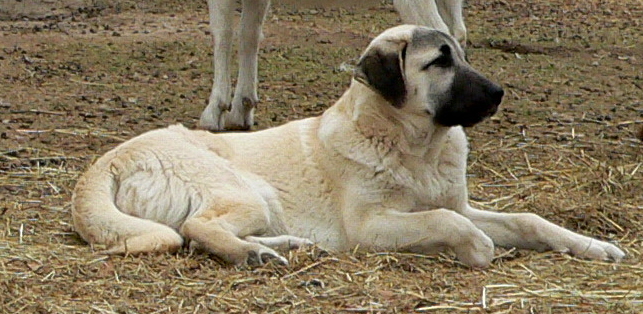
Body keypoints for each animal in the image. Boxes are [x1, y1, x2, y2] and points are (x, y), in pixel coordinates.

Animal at [73, 25, 628, 268]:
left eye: (463, 55)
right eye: (439, 62)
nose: (498, 93)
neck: (417, 149)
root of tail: (107, 161)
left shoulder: (463, 203)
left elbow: (528, 220)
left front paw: (594, 246)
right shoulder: (371, 225)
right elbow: (449, 222)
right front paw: (476, 249)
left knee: (202, 232)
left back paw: (285, 247)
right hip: (244, 190)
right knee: (196, 229)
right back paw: (253, 255)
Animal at [199, 0, 466, 131]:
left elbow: (222, 32)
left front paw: (214, 111)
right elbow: (249, 33)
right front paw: (241, 110)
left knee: (438, 30)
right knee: (457, 32)